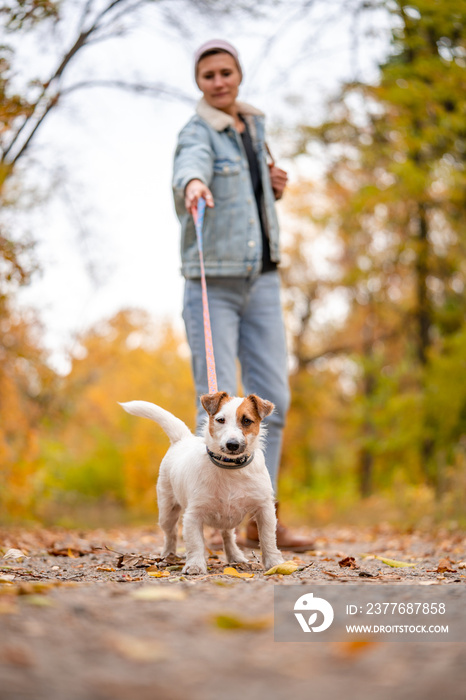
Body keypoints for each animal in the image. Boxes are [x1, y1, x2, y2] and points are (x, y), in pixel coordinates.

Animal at [119, 388, 284, 576]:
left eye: (247, 421)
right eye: (220, 420)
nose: (232, 444)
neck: (230, 468)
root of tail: (183, 439)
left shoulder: (265, 510)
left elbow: (267, 538)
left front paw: (274, 562)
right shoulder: (193, 515)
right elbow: (196, 543)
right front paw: (195, 565)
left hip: (229, 516)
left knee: (228, 535)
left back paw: (235, 556)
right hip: (167, 511)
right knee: (171, 534)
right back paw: (168, 555)